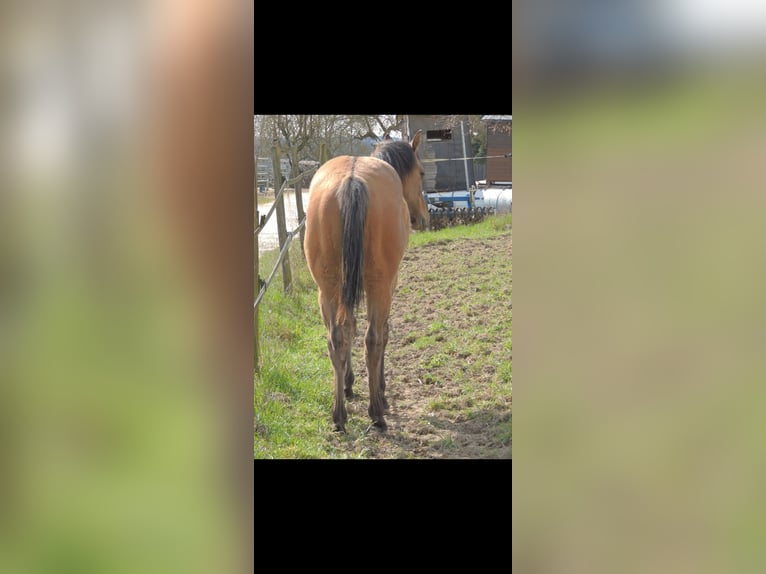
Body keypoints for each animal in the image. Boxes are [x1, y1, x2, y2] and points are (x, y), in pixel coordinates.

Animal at [304, 130, 428, 432]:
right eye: (421, 172)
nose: (422, 217)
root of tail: (352, 181)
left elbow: (349, 328)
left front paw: (348, 385)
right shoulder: (388, 286)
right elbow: (383, 333)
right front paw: (380, 392)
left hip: (327, 289)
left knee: (336, 339)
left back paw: (339, 415)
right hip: (378, 286)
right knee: (372, 339)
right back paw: (377, 413)